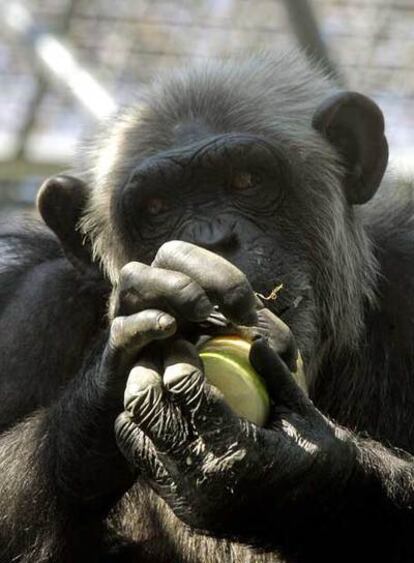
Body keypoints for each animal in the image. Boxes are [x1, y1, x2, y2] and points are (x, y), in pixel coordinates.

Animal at [0, 49, 414, 563]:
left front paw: (281, 472)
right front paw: (111, 367)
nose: (211, 238)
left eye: (245, 179)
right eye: (156, 206)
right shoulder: (33, 311)